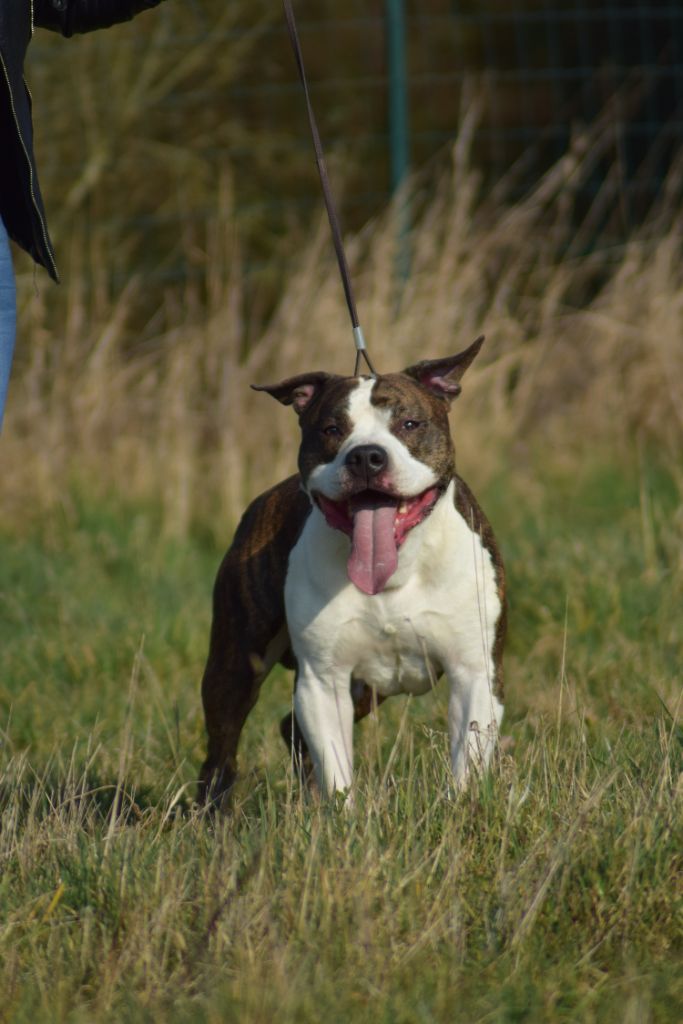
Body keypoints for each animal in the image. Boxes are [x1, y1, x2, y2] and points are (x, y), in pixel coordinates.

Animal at [197, 339, 507, 802]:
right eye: (331, 430)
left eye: (410, 423)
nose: (365, 456)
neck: (399, 567)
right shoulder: (323, 681)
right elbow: (336, 770)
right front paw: (344, 813)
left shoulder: (474, 673)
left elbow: (466, 762)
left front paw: (461, 807)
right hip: (235, 663)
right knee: (221, 752)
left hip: (364, 688)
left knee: (290, 730)